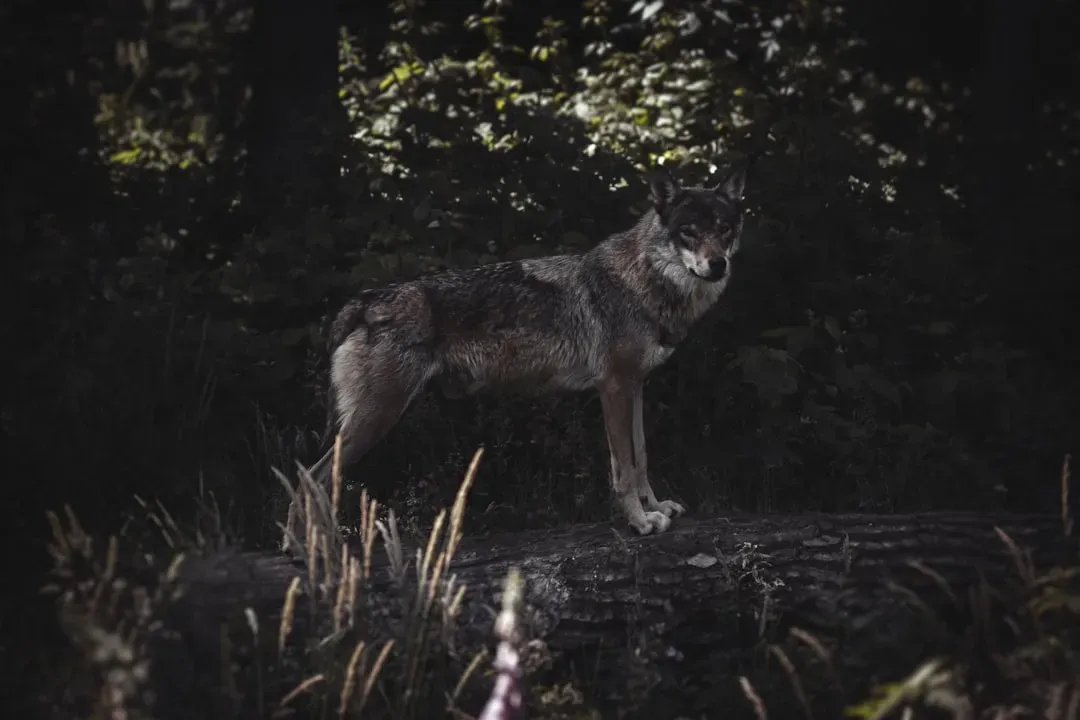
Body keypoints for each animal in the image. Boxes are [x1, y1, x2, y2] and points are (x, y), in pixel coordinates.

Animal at [304, 166, 747, 536]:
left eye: (725, 229)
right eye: (689, 232)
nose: (718, 264)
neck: (643, 282)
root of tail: (361, 303)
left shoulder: (635, 387)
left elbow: (641, 458)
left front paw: (655, 508)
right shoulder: (614, 389)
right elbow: (623, 469)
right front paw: (639, 523)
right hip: (376, 418)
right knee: (312, 479)